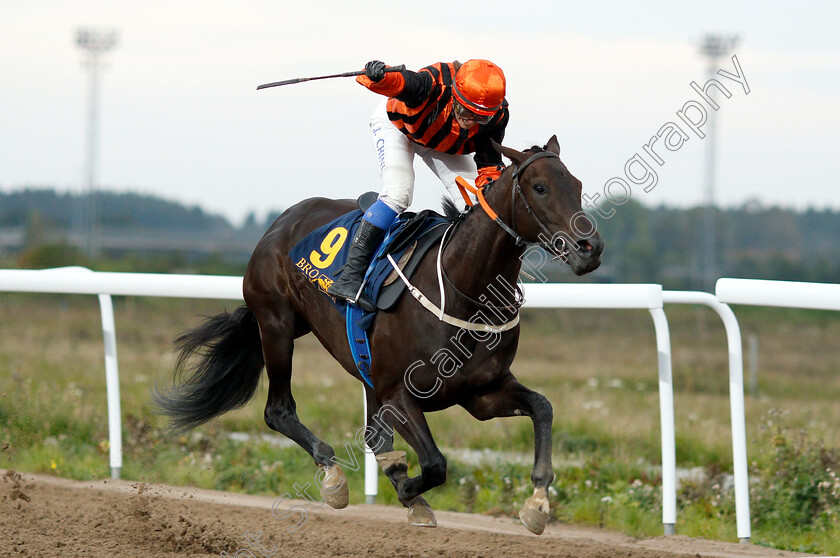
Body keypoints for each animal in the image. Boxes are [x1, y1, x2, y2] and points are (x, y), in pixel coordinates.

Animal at [156, 135, 604, 532]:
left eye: (578, 185)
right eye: (540, 188)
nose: (590, 248)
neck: (463, 287)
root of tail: (282, 221)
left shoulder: (481, 392)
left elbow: (542, 407)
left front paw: (538, 503)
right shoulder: (398, 391)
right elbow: (435, 463)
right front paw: (406, 487)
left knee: (372, 433)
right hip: (276, 325)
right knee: (279, 410)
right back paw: (334, 478)